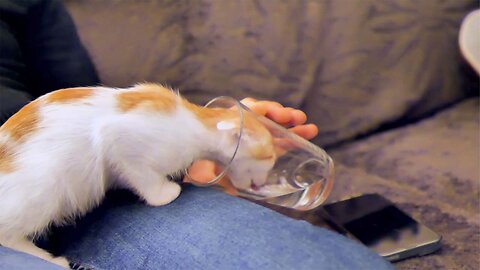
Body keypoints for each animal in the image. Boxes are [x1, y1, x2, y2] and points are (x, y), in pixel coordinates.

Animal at [0, 83, 274, 268]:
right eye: (270, 159)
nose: (262, 184)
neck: (196, 124)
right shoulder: (117, 137)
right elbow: (143, 177)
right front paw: (165, 194)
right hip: (45, 186)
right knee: (6, 235)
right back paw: (50, 260)